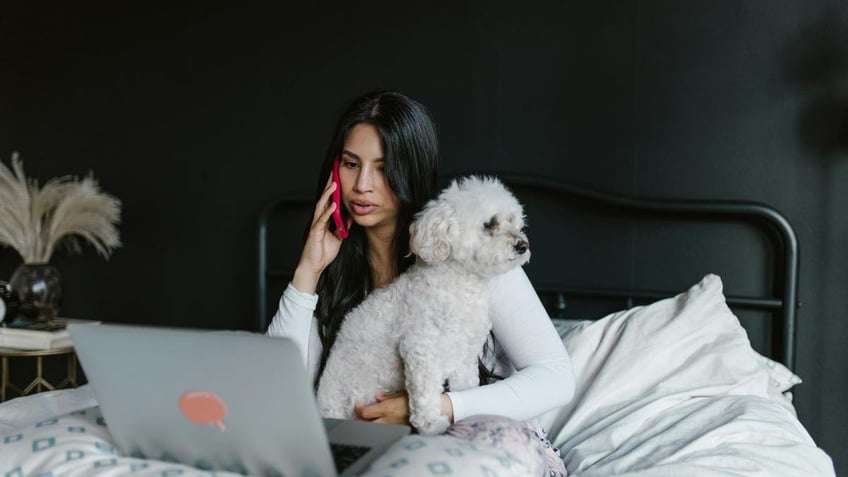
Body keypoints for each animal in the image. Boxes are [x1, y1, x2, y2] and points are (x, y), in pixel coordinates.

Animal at [318, 176, 528, 436]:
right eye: (489, 224)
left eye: (513, 221)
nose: (523, 245)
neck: (461, 285)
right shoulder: (420, 349)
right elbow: (426, 394)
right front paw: (431, 424)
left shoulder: (464, 357)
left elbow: (467, 387)